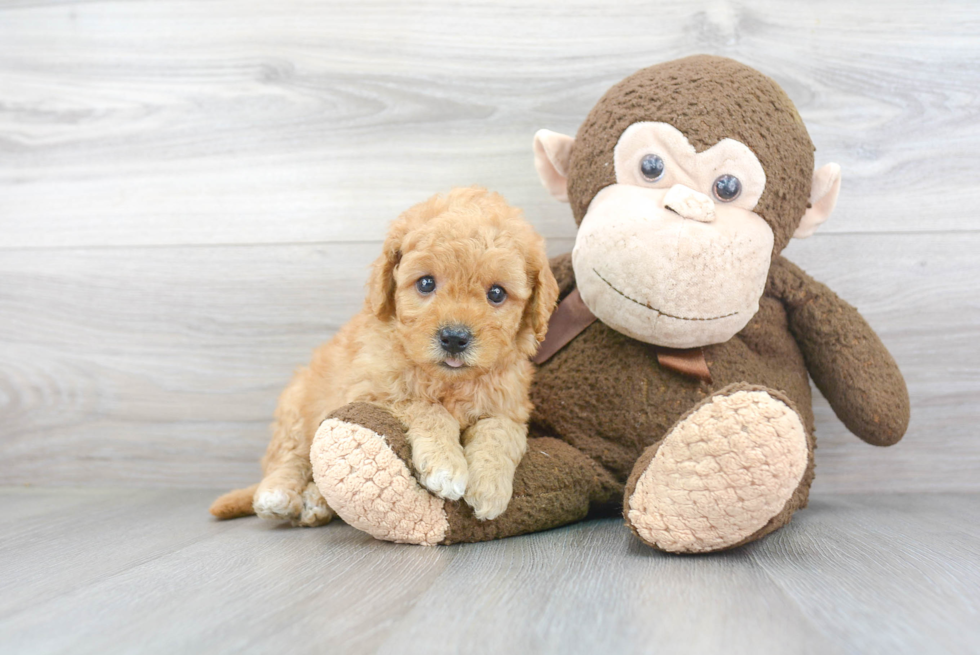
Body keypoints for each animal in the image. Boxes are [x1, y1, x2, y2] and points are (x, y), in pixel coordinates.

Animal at [210, 187, 556, 524]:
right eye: (426, 283)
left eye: (496, 293)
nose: (454, 338)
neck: (447, 381)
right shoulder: (371, 392)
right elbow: (424, 405)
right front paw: (446, 464)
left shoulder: (510, 406)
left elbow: (500, 432)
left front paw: (490, 486)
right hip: (295, 408)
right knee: (290, 457)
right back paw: (279, 494)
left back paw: (316, 502)